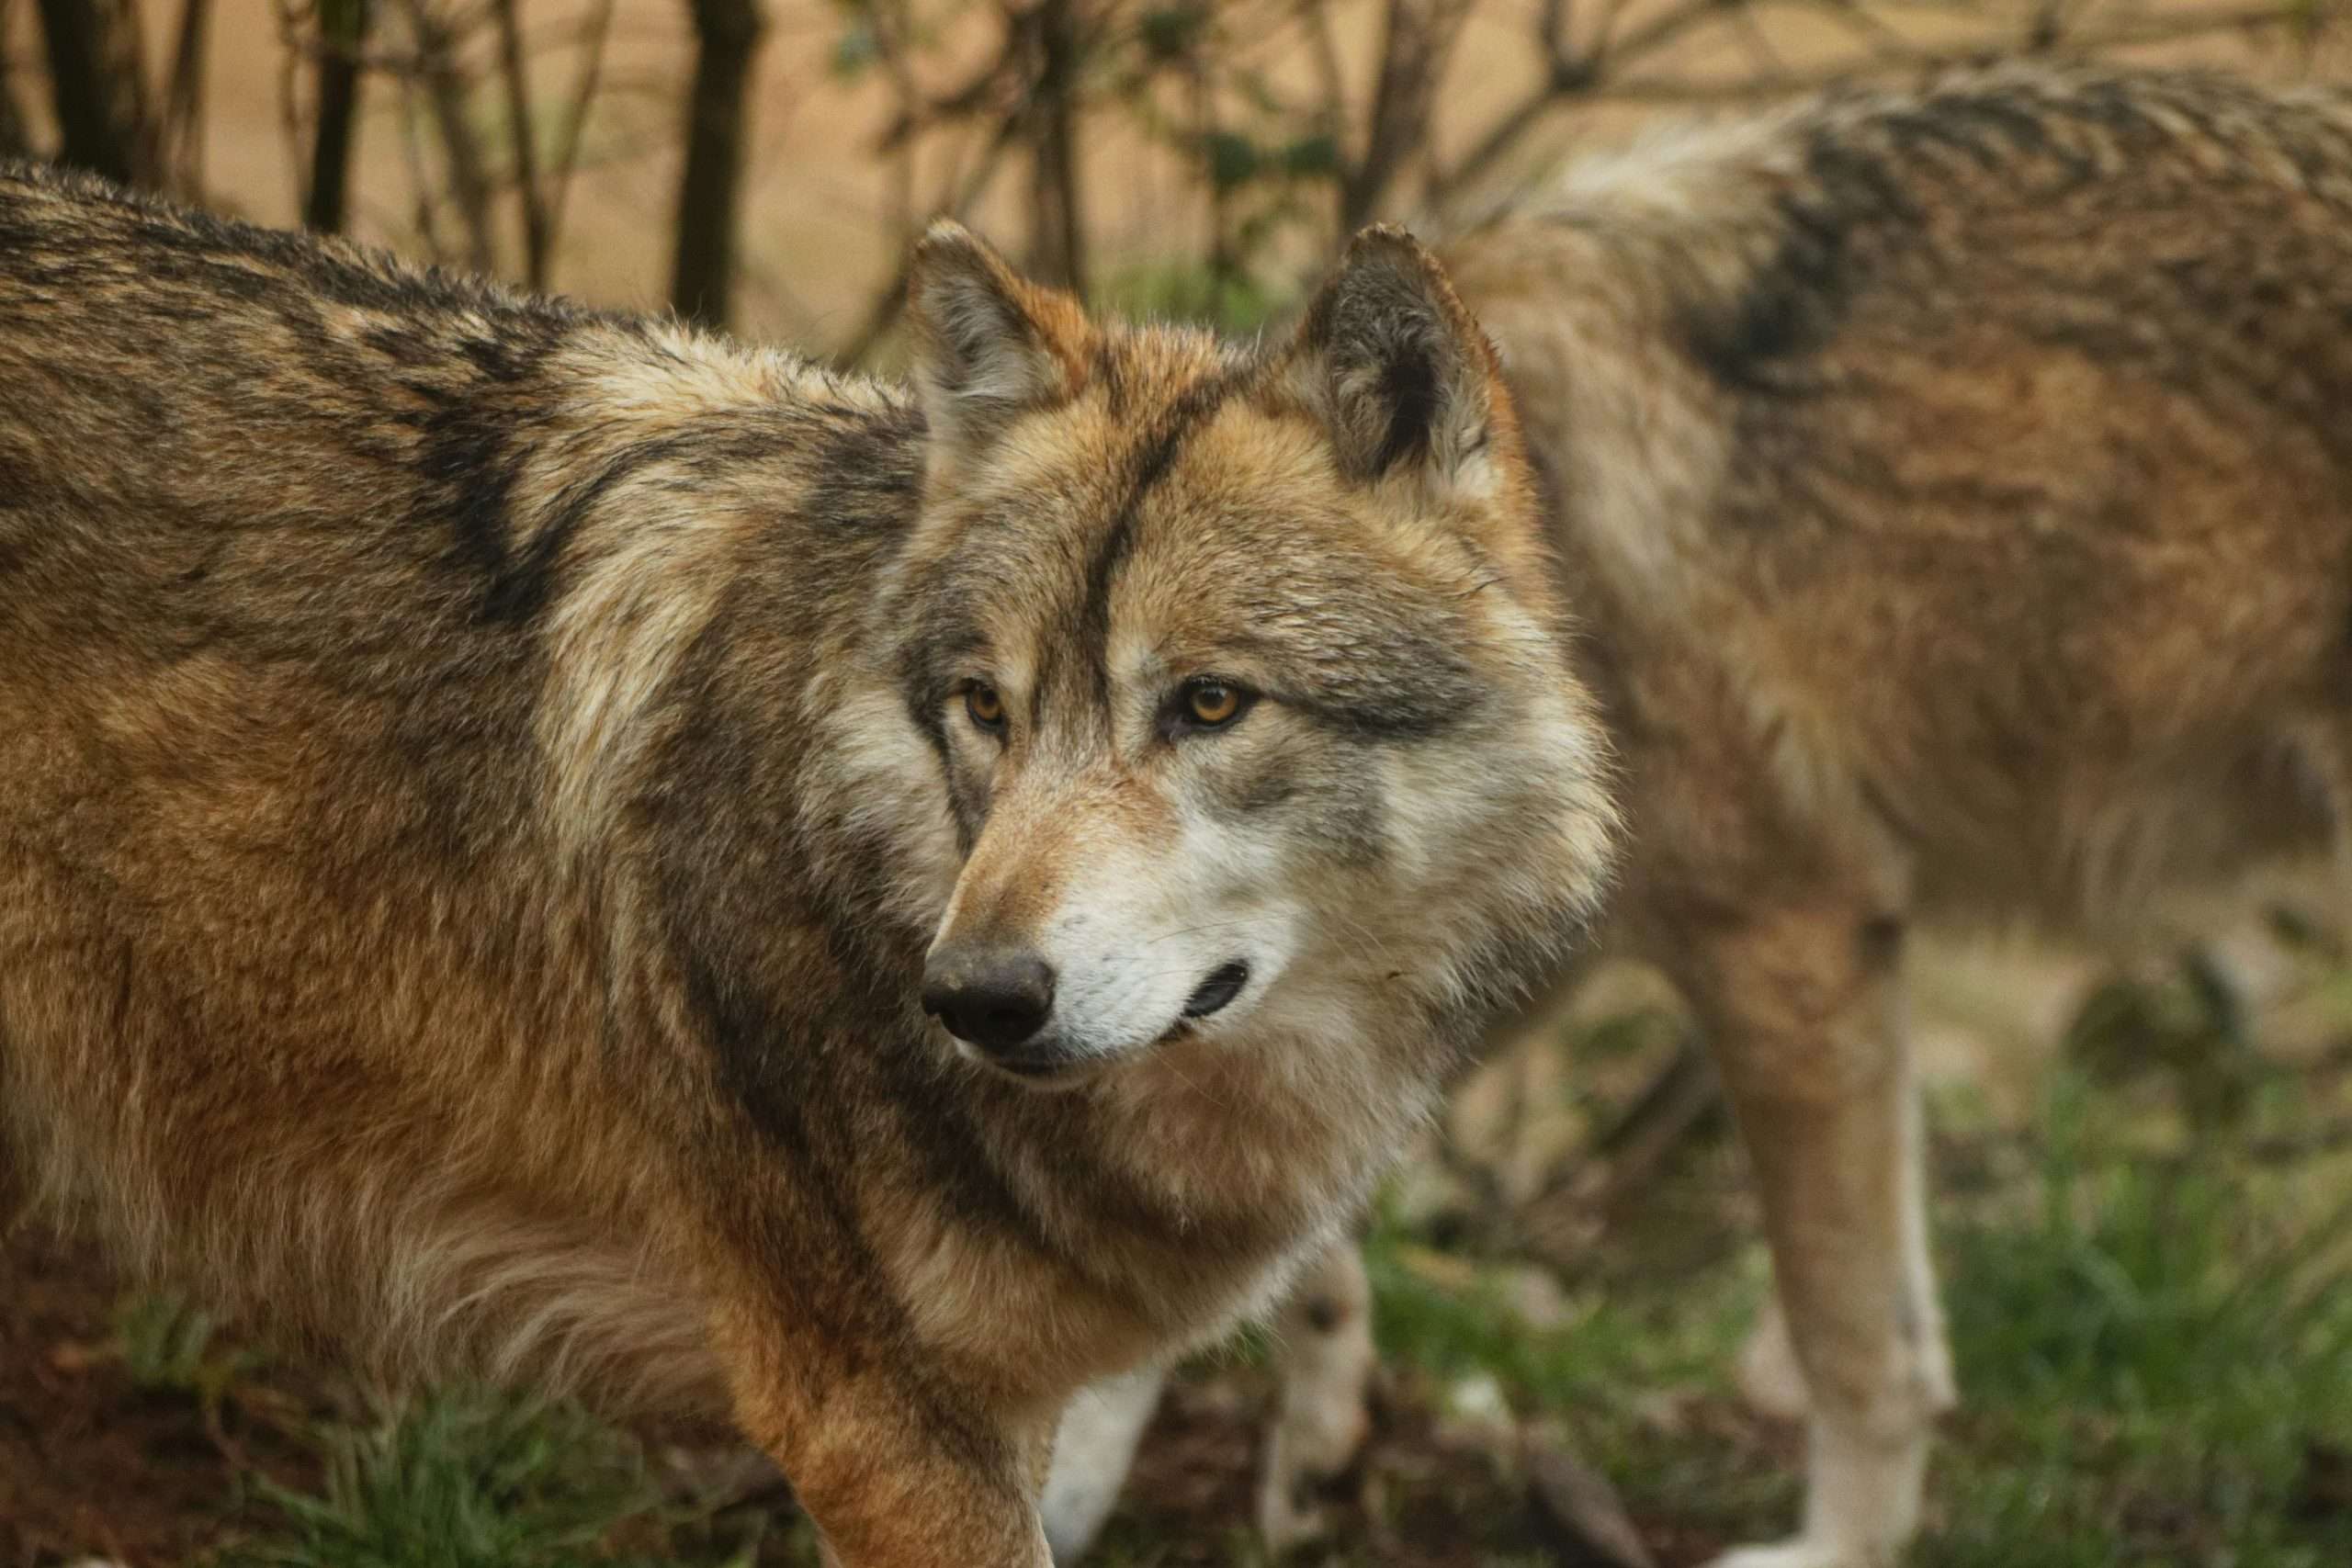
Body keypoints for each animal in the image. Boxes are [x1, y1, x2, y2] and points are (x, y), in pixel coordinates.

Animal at [1042, 62, 2352, 1568]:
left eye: (1205, 703)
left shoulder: (1788, 937)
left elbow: (1859, 1340)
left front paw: (1836, 1553)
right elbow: (1310, 1230)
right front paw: (1320, 1441)